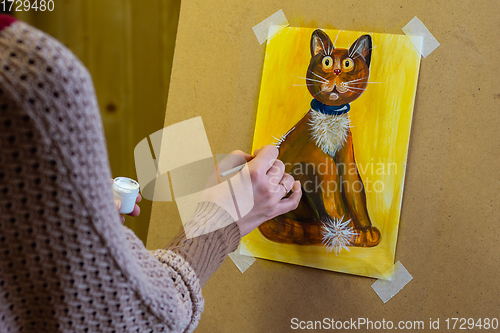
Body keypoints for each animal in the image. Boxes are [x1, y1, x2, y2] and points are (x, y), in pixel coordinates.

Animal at [260, 29, 380, 252]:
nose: (336, 71)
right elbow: (333, 199)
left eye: (348, 64)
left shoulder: (346, 159)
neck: (331, 117)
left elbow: (355, 194)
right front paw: (346, 233)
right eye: (326, 61)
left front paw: (365, 230)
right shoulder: (317, 160)